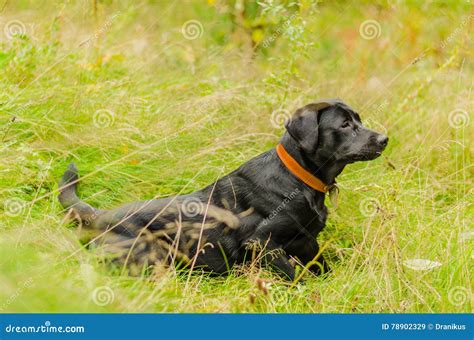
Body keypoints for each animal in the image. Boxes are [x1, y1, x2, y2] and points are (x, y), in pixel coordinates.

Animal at [59, 98, 386, 278]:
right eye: (344, 125)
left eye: (358, 120)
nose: (384, 139)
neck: (300, 179)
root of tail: (99, 217)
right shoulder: (262, 243)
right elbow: (295, 277)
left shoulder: (306, 241)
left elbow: (320, 266)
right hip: (150, 255)